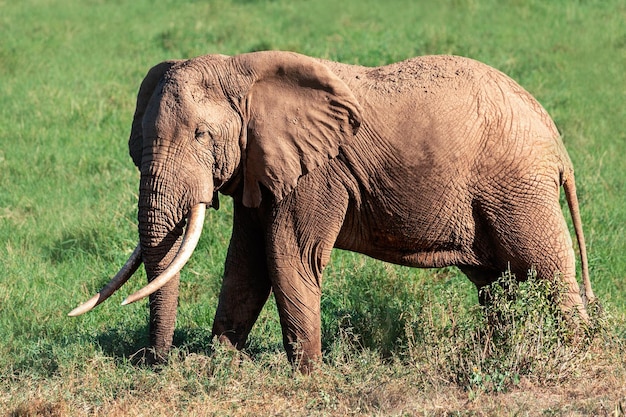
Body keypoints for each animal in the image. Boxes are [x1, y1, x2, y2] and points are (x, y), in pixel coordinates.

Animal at [69, 49, 596, 370]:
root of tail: (556, 138)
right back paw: (499, 355)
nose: (153, 362)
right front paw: (221, 364)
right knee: (498, 283)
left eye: (202, 135)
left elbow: (287, 256)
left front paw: (304, 376)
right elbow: (245, 262)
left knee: (546, 270)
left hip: (516, 186)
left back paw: (573, 358)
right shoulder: (259, 162)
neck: (242, 69)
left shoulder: (317, 172)